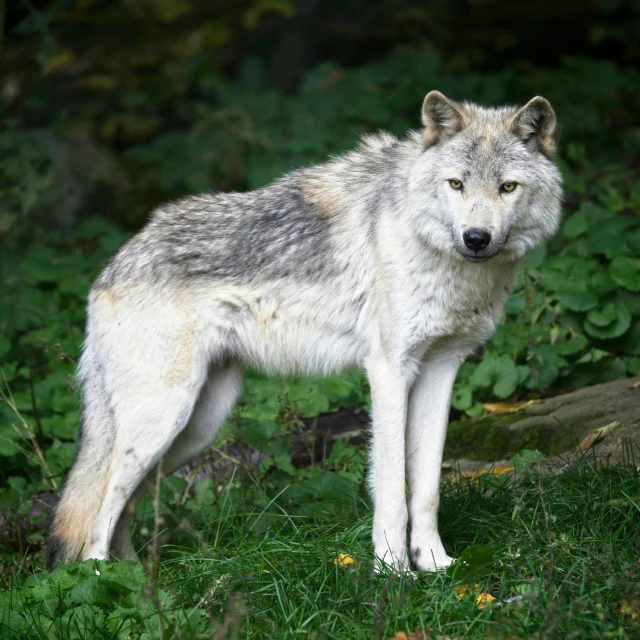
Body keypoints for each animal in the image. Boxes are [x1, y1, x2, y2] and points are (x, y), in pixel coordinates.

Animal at [47, 90, 564, 568]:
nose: (476, 239)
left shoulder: (442, 370)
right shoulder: (389, 371)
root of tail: (111, 266)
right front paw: (394, 573)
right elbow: (392, 491)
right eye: (456, 184)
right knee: (97, 518)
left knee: (124, 508)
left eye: (508, 187)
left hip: (196, 427)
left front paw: (436, 566)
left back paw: (137, 579)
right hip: (163, 420)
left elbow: (427, 489)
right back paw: (109, 587)